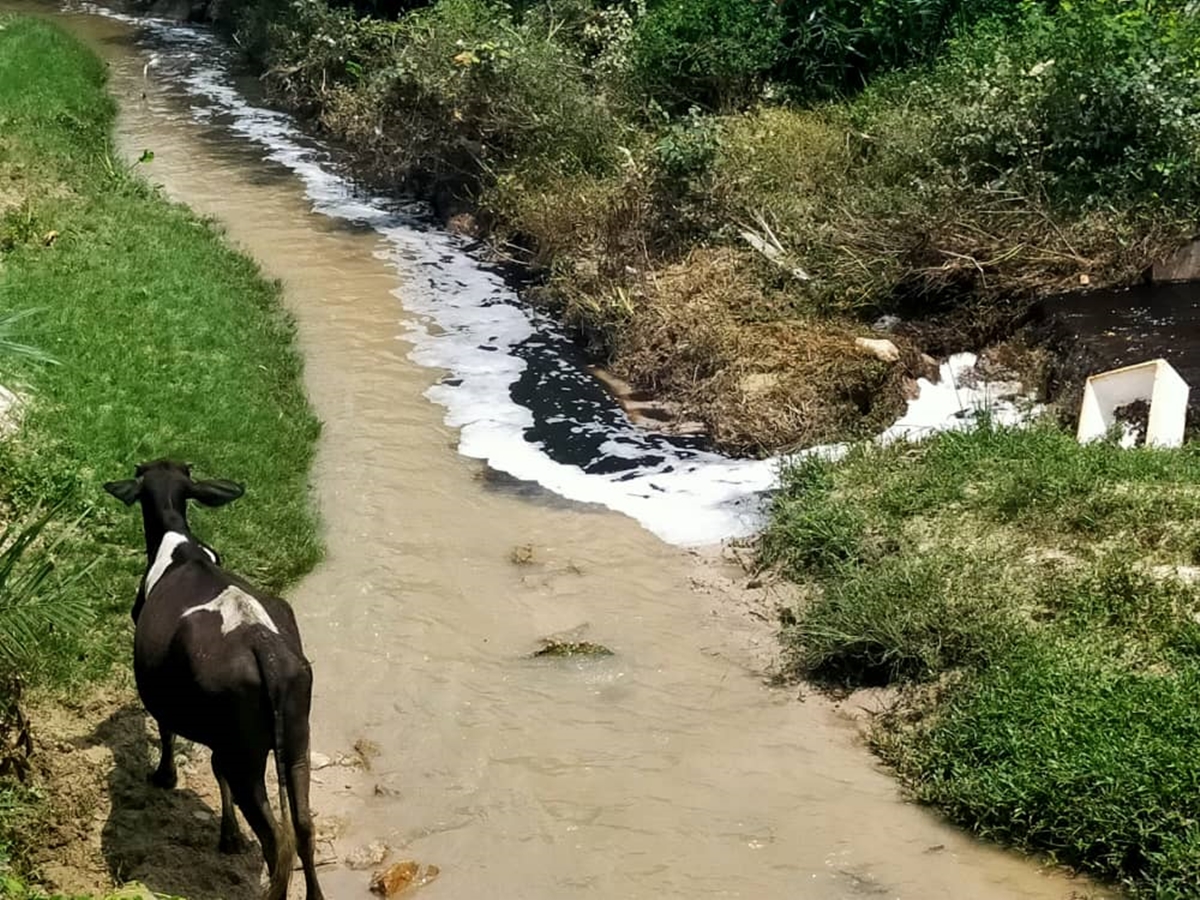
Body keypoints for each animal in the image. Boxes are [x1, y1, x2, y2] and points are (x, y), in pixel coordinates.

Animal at [104, 460, 324, 900]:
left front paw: (165, 777)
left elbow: (167, 729)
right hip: (296, 738)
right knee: (304, 826)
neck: (180, 544)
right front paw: (230, 836)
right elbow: (215, 768)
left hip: (246, 754)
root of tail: (263, 647)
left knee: (278, 839)